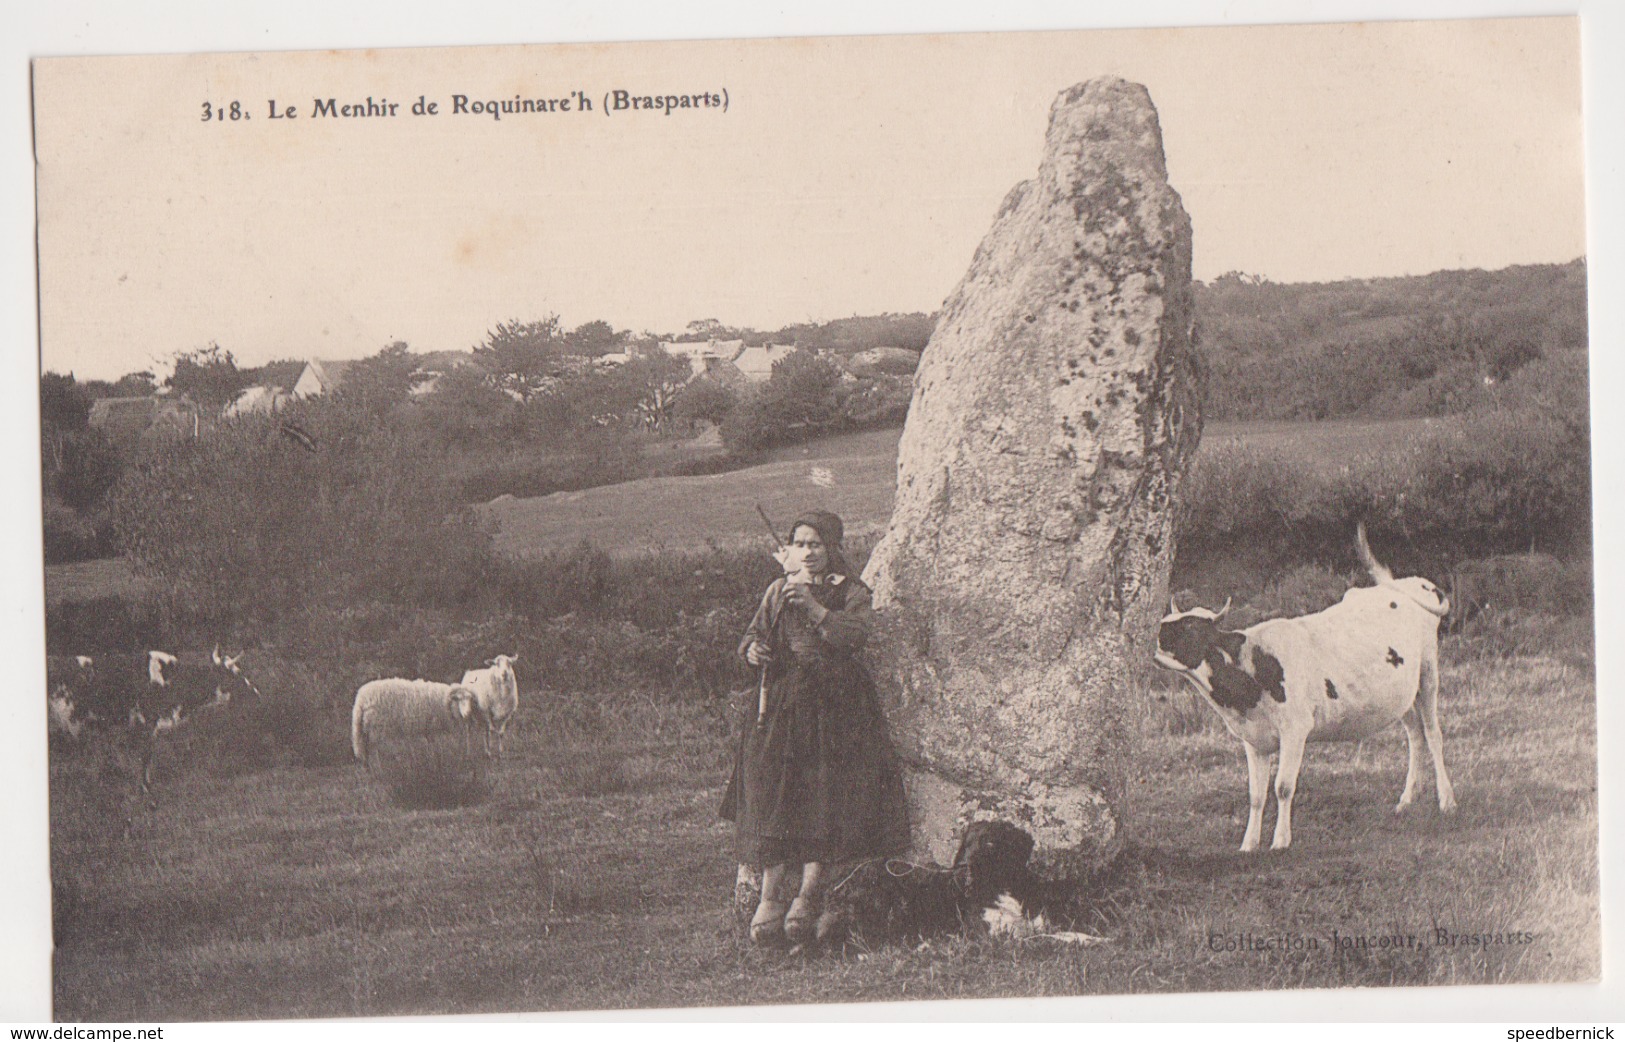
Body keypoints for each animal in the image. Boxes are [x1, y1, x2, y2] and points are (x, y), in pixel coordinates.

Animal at [1150, 523, 1456, 851]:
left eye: (1190, 627)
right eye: (1168, 619)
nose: (1154, 638)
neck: (1253, 668)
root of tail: (1409, 582)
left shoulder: (1295, 729)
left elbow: (1283, 786)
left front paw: (1281, 841)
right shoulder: (1253, 739)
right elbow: (1255, 795)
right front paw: (1248, 844)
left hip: (1428, 673)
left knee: (1433, 735)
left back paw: (1446, 801)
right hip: (1399, 695)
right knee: (1415, 734)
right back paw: (1407, 800)